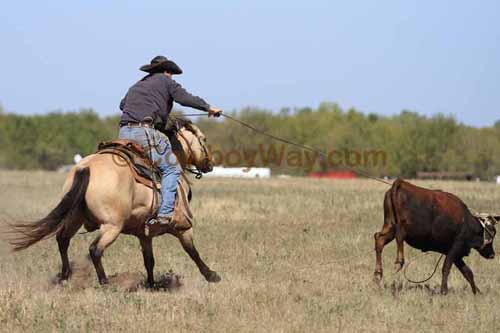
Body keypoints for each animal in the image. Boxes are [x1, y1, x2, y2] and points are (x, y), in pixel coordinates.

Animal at [7, 118, 221, 286]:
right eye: (203, 139)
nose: (210, 164)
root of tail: (87, 167)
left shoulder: (144, 234)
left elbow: (149, 260)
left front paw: (151, 285)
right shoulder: (183, 227)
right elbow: (192, 251)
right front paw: (211, 275)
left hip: (75, 218)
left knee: (63, 240)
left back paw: (64, 277)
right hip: (112, 226)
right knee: (95, 249)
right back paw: (104, 281)